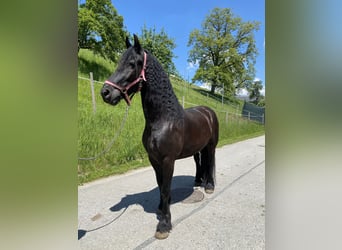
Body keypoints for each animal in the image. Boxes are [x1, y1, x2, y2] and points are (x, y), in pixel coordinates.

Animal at [101, 34, 219, 239]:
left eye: (132, 64)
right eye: (119, 62)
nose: (105, 93)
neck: (163, 119)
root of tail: (208, 111)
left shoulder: (168, 160)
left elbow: (164, 188)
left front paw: (164, 224)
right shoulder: (154, 159)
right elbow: (160, 183)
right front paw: (161, 208)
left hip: (211, 146)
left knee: (210, 161)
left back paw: (209, 186)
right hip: (197, 148)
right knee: (199, 162)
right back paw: (198, 181)